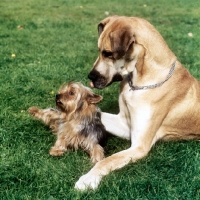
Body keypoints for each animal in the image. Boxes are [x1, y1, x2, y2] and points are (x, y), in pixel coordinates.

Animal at [75, 15, 200, 191]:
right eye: (100, 50)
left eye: (108, 53)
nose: (91, 76)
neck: (137, 81)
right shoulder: (124, 123)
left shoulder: (139, 146)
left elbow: (108, 160)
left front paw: (88, 178)